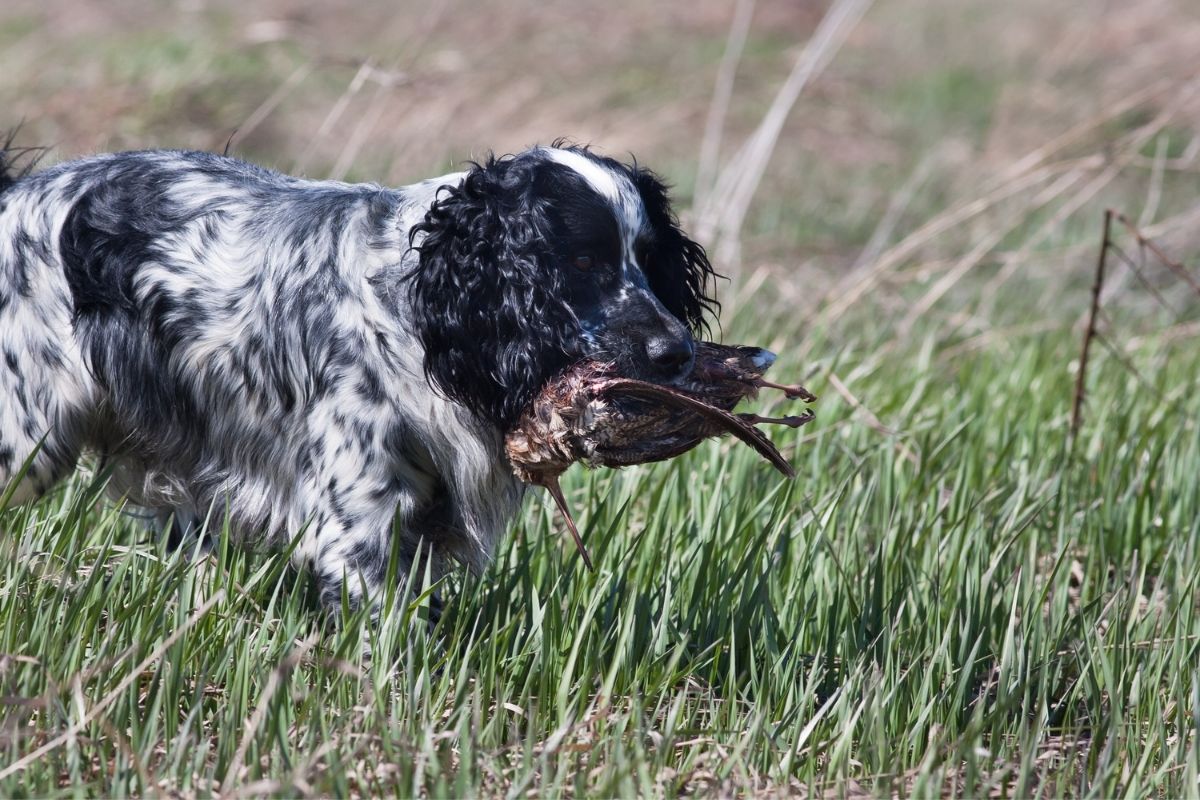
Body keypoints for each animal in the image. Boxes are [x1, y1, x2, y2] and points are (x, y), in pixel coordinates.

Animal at [0, 142, 710, 618]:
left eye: (650, 260)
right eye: (582, 262)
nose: (675, 351)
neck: (420, 305)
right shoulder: (358, 521)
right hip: (26, 444)